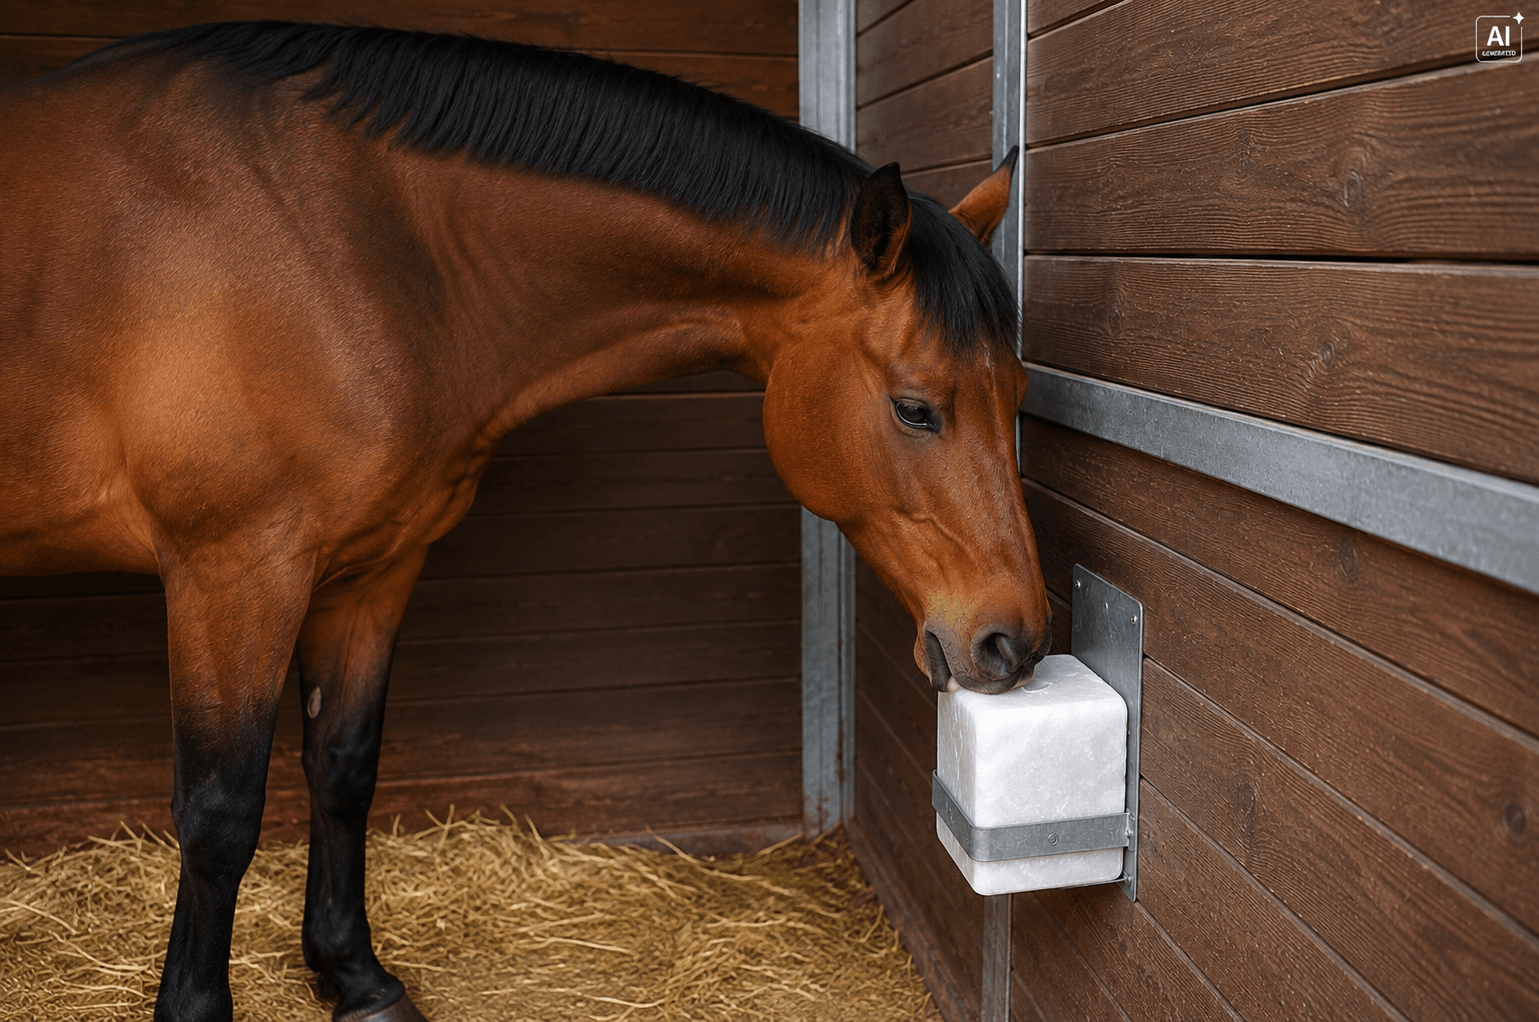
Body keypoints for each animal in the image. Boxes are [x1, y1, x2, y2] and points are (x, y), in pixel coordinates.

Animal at [0, 22, 1050, 1022]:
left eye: (1016, 393)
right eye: (914, 408)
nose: (1015, 639)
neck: (350, 241)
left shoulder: (373, 568)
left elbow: (342, 768)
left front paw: (357, 978)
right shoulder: (233, 571)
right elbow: (221, 814)